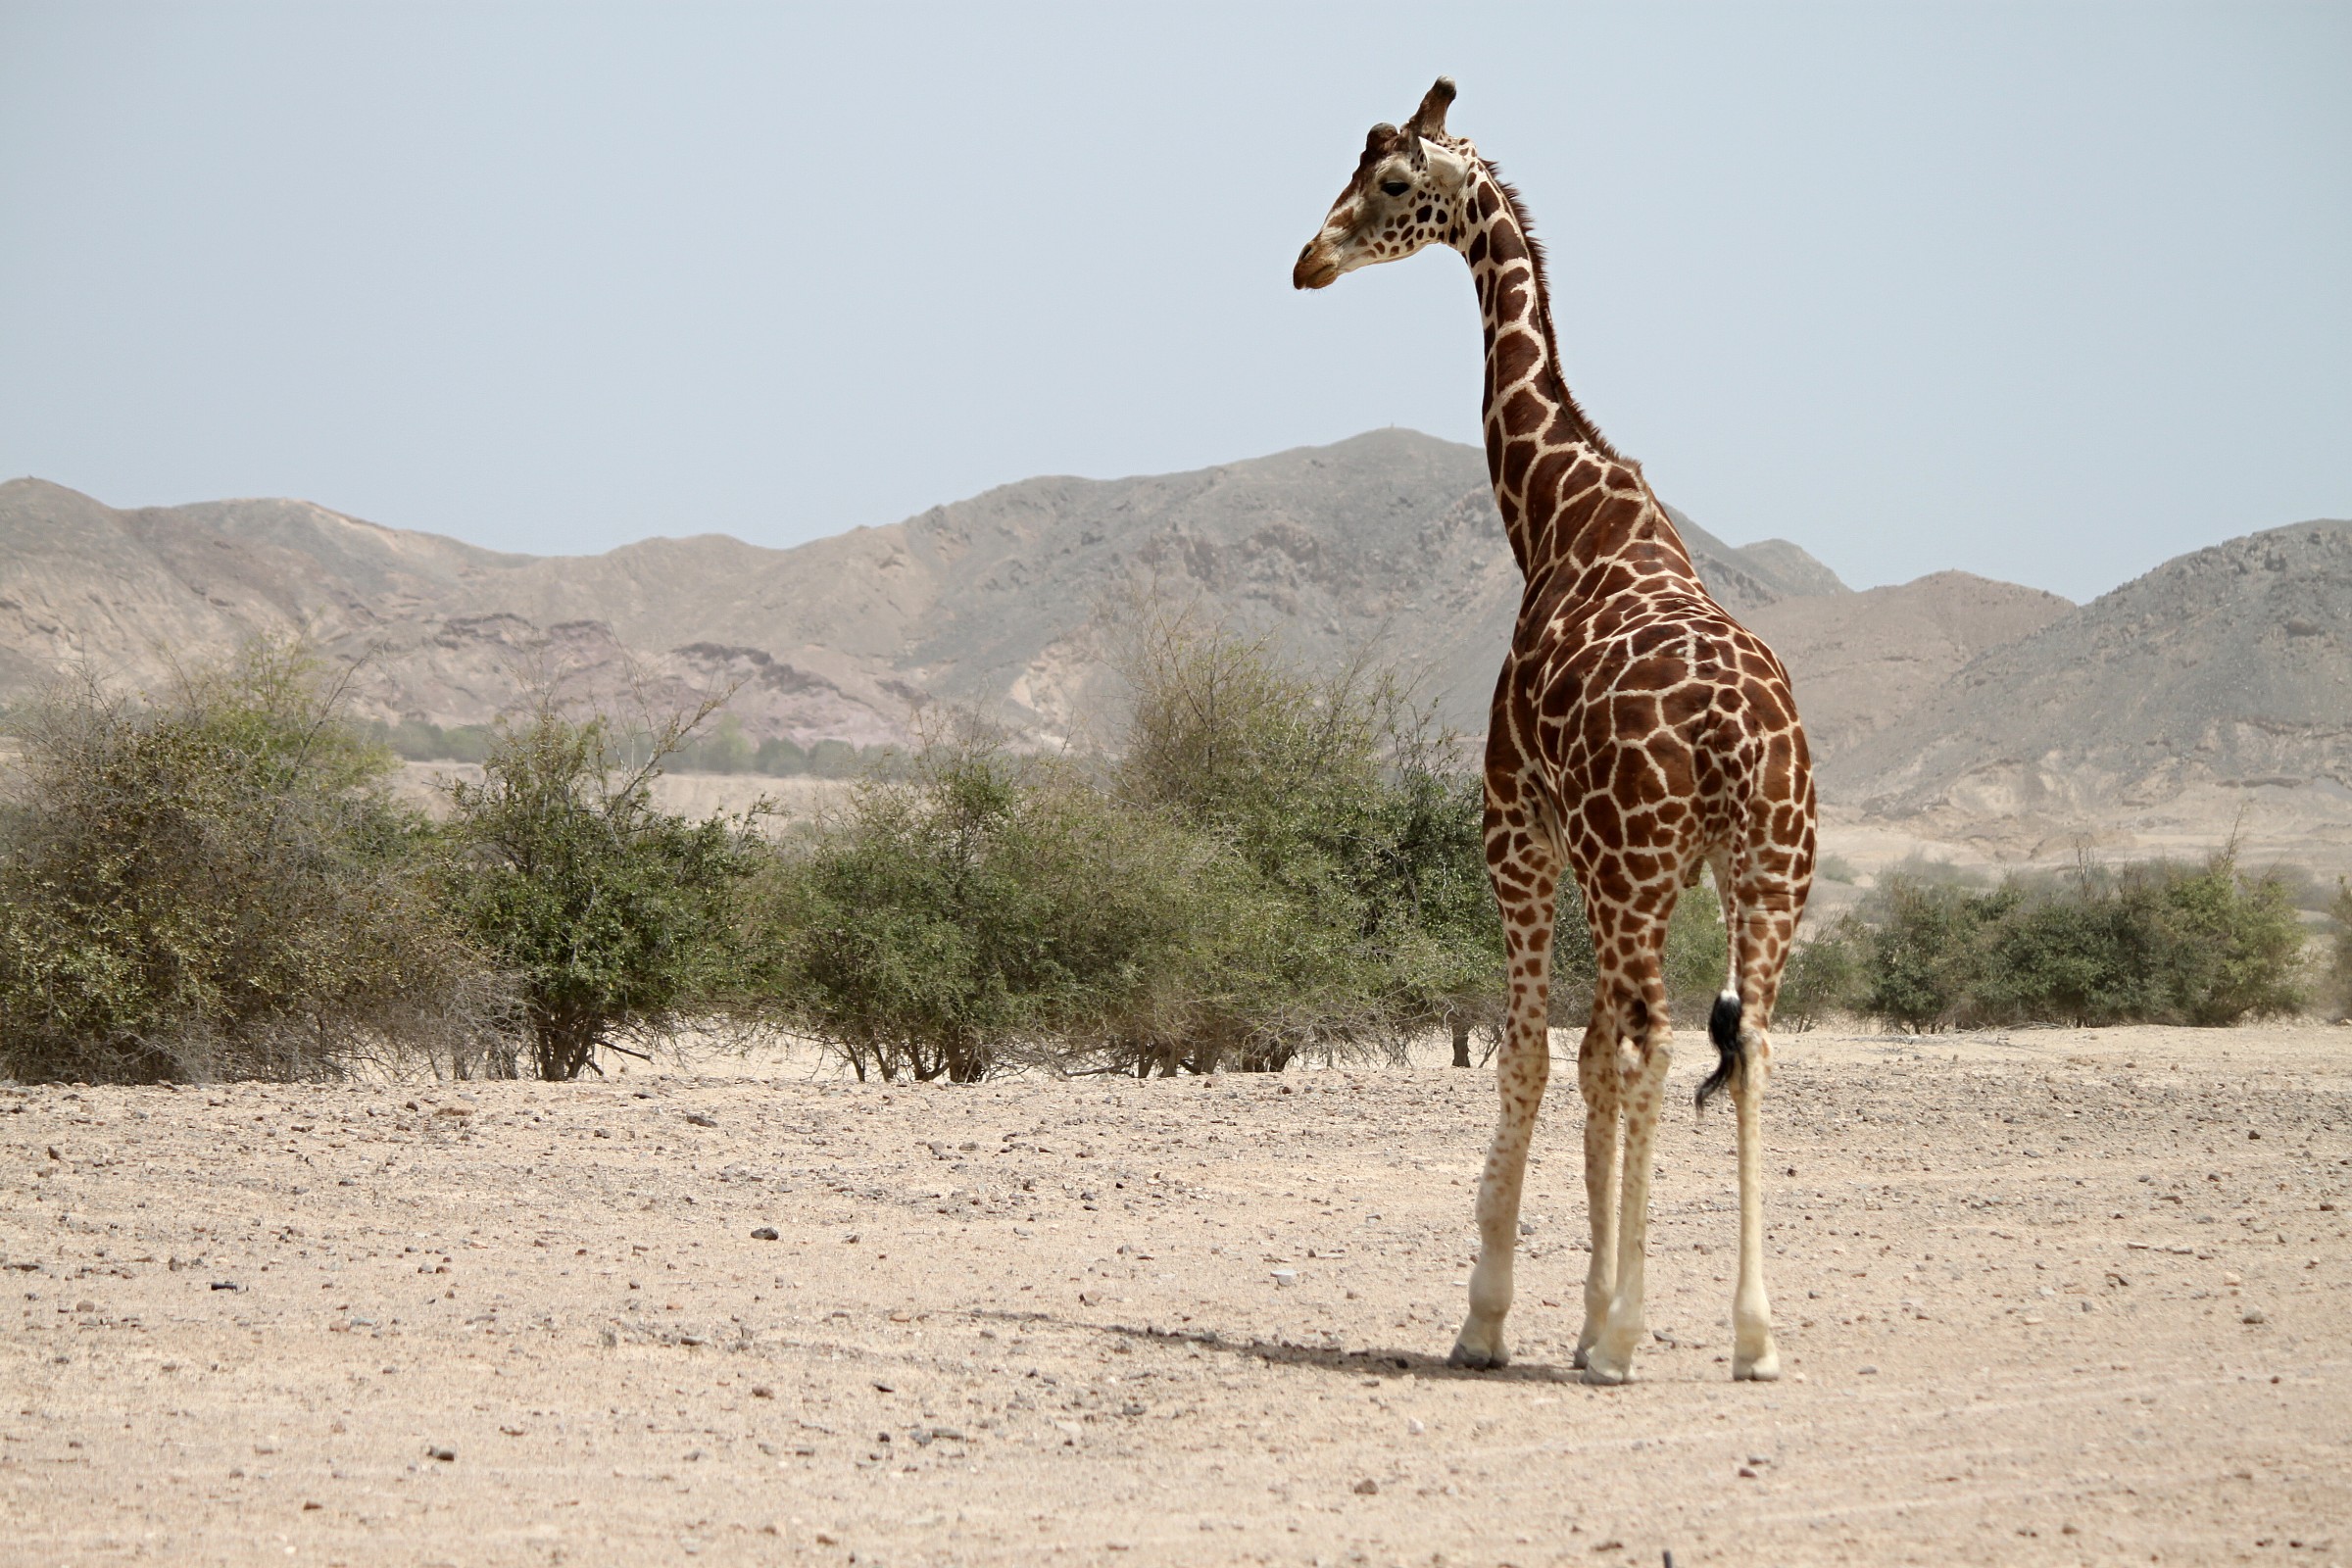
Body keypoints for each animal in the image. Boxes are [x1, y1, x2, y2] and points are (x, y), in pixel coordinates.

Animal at [1294, 78, 1816, 1385]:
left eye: (1389, 182)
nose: (1307, 260)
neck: (1553, 514)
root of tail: (1733, 737)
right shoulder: (1597, 853)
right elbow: (1585, 1056)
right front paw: (1580, 1308)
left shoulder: (1514, 823)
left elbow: (1534, 1049)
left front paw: (1495, 1316)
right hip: (1765, 870)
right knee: (1749, 1044)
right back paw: (1752, 1333)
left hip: (1642, 865)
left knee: (1660, 1040)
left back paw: (1631, 1338)